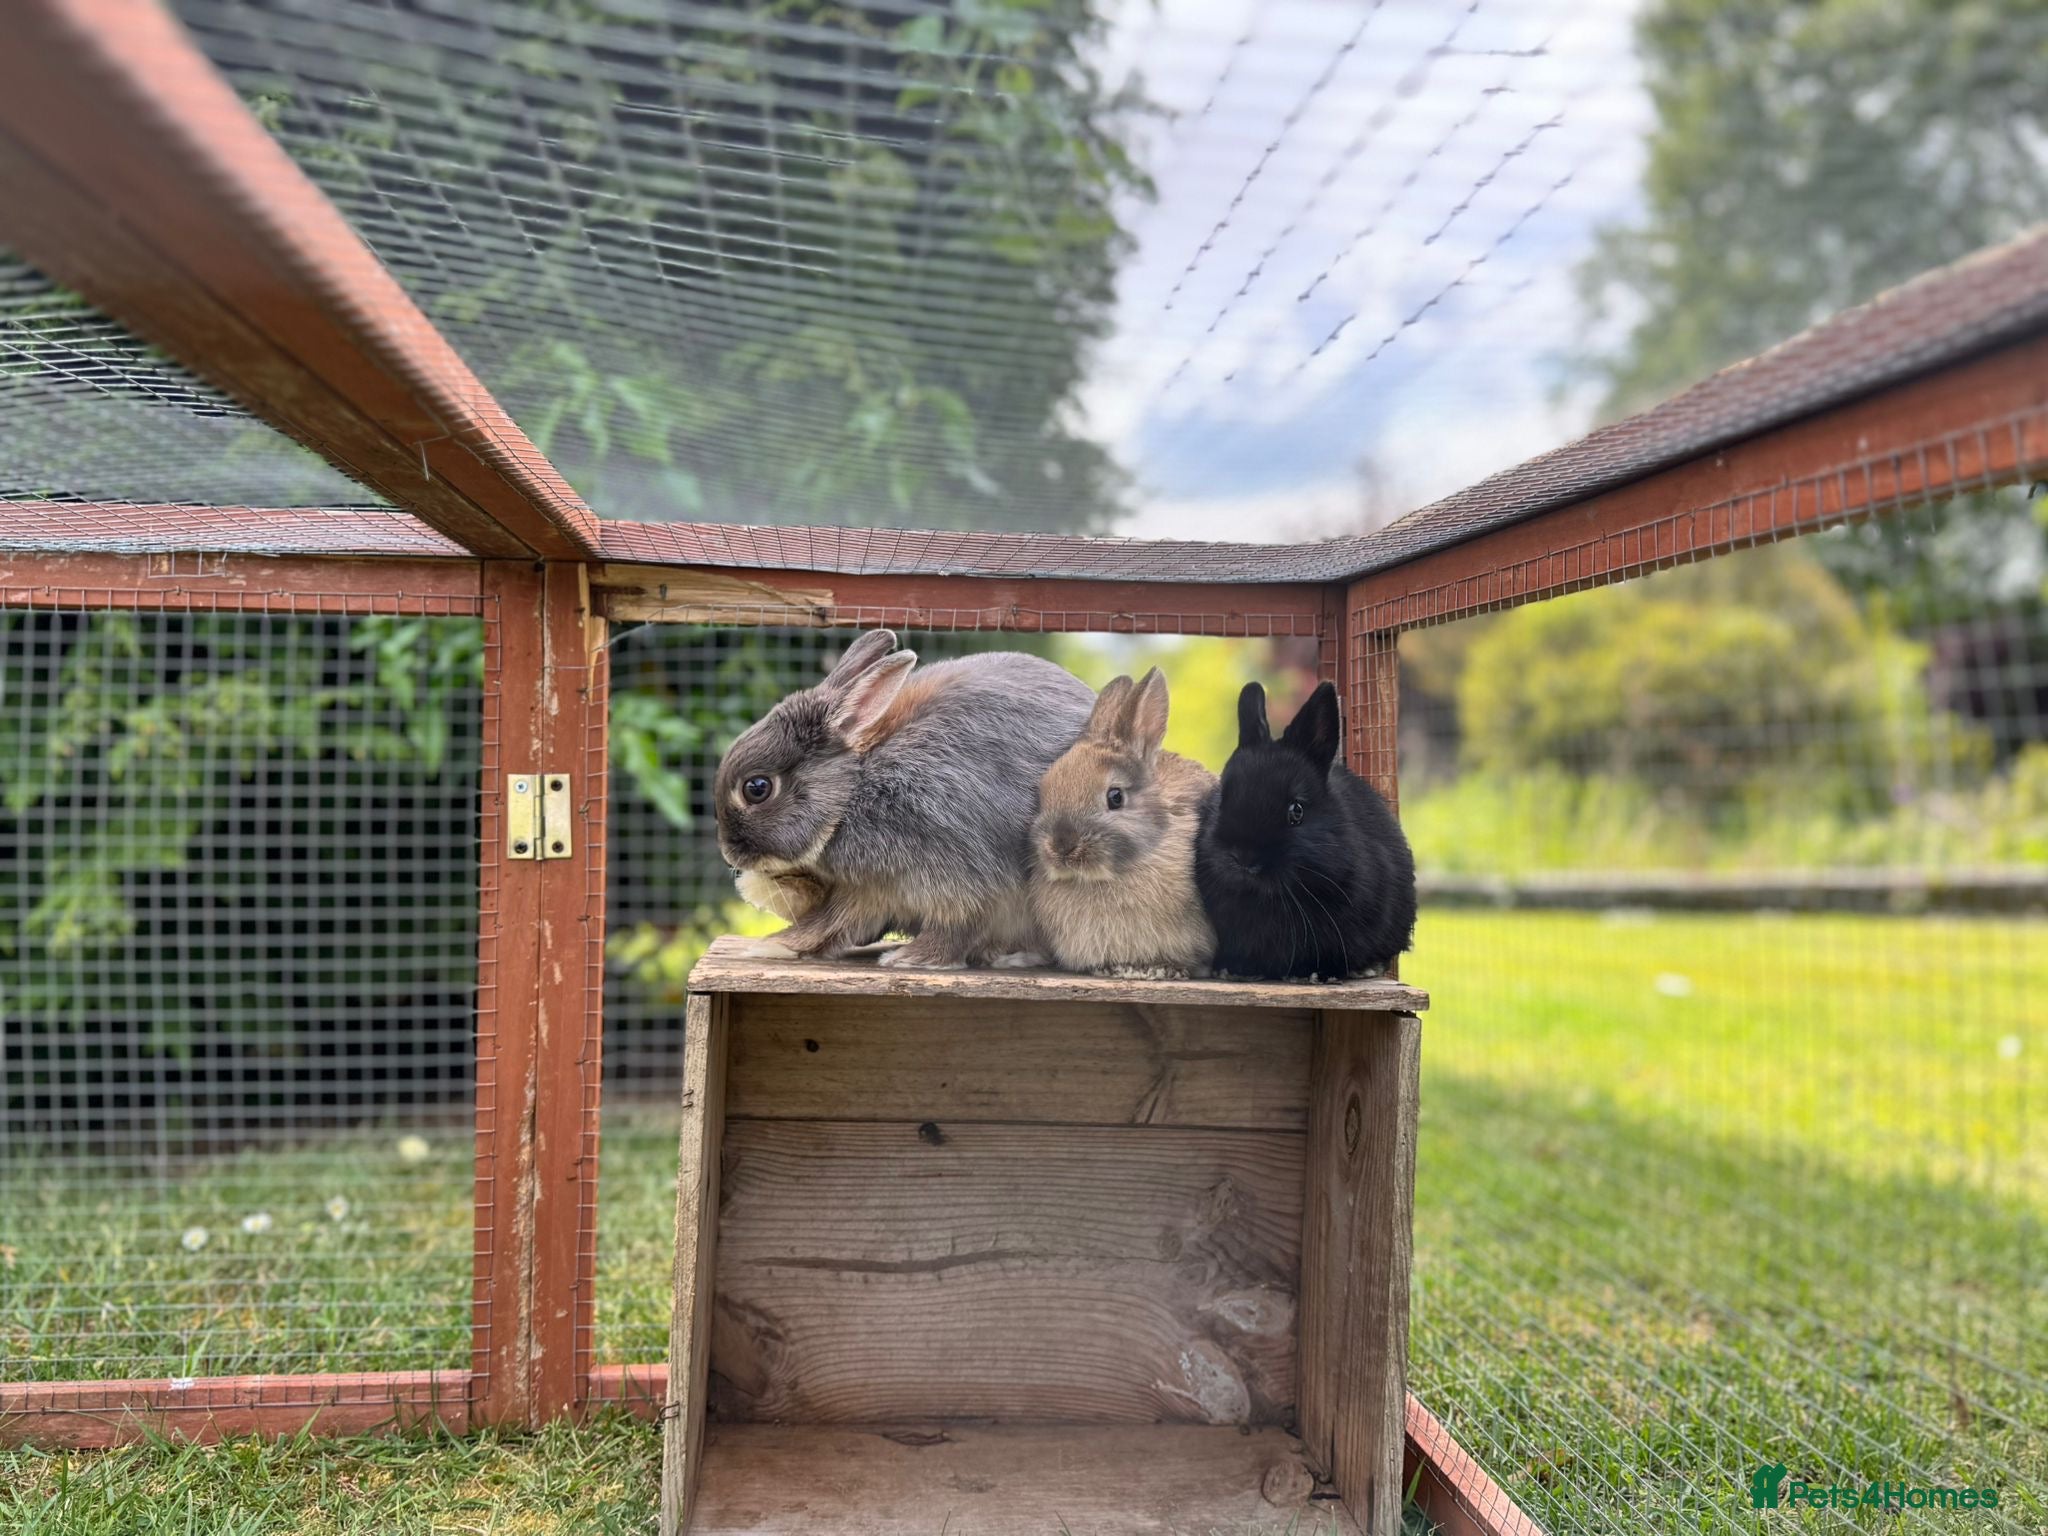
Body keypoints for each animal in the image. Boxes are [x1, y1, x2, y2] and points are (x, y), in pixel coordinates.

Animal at [715, 628, 1096, 969]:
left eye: (757, 788)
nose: (730, 853)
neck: (853, 792)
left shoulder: (961, 873)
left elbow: (956, 926)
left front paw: (912, 959)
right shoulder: (870, 891)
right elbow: (831, 923)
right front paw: (776, 946)